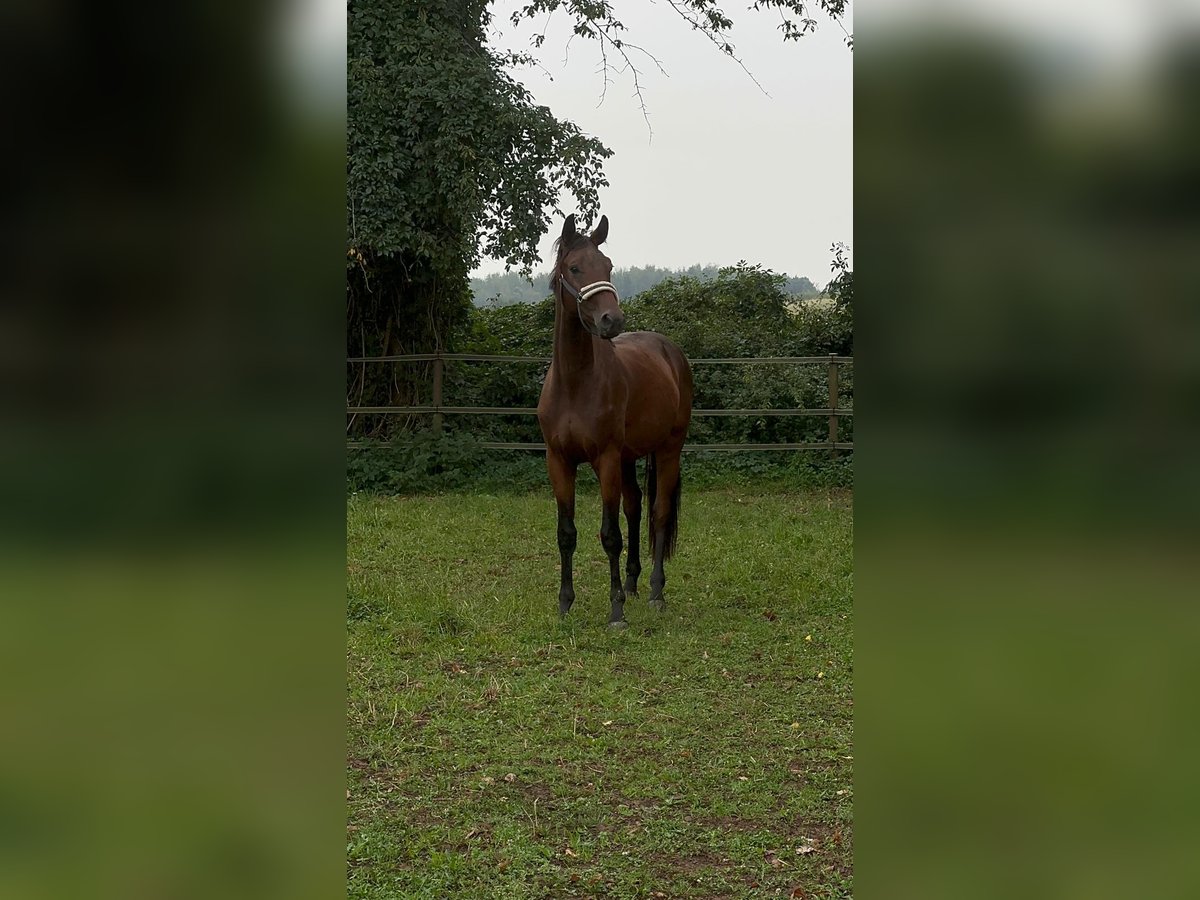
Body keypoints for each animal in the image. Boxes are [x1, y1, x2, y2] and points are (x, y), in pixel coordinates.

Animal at [537, 214, 696, 628]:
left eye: (607, 266)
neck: (575, 383)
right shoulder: (559, 462)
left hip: (668, 450)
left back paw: (655, 591)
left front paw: (616, 612)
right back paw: (632, 584)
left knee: (658, 513)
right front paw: (565, 603)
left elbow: (610, 534)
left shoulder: (605, 459)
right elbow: (566, 533)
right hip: (628, 458)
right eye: (575, 268)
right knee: (635, 507)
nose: (612, 320)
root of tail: (670, 351)